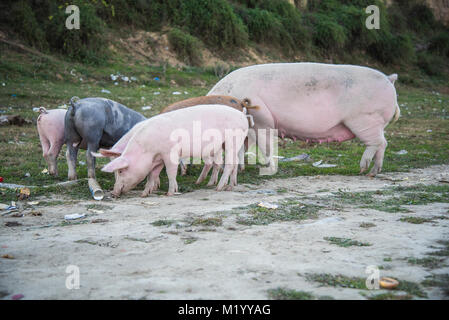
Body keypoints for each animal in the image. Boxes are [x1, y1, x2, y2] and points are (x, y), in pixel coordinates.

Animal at [99, 105, 248, 195]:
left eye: (120, 171)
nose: (113, 193)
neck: (147, 149)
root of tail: (242, 116)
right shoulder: (157, 159)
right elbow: (152, 174)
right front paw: (145, 194)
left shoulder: (169, 153)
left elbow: (170, 172)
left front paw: (170, 193)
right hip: (226, 144)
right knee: (232, 162)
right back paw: (228, 186)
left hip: (232, 140)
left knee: (229, 163)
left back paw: (218, 187)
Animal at [206, 62, 400, 178]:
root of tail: (389, 79)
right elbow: (240, 148)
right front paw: (240, 169)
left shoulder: (263, 121)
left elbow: (266, 146)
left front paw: (268, 170)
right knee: (383, 144)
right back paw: (373, 172)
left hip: (365, 118)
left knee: (378, 143)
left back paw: (364, 169)